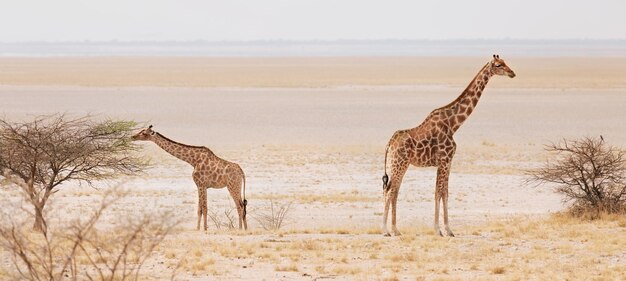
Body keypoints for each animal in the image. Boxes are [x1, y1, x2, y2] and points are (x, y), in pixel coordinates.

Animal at [380, 53, 516, 235]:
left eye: (505, 62)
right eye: (499, 65)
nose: (512, 73)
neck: (453, 125)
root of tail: (389, 144)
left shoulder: (449, 161)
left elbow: (445, 192)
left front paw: (448, 230)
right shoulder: (444, 160)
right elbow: (438, 192)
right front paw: (438, 229)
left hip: (399, 164)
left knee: (393, 190)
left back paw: (395, 229)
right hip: (398, 164)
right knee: (390, 190)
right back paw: (386, 230)